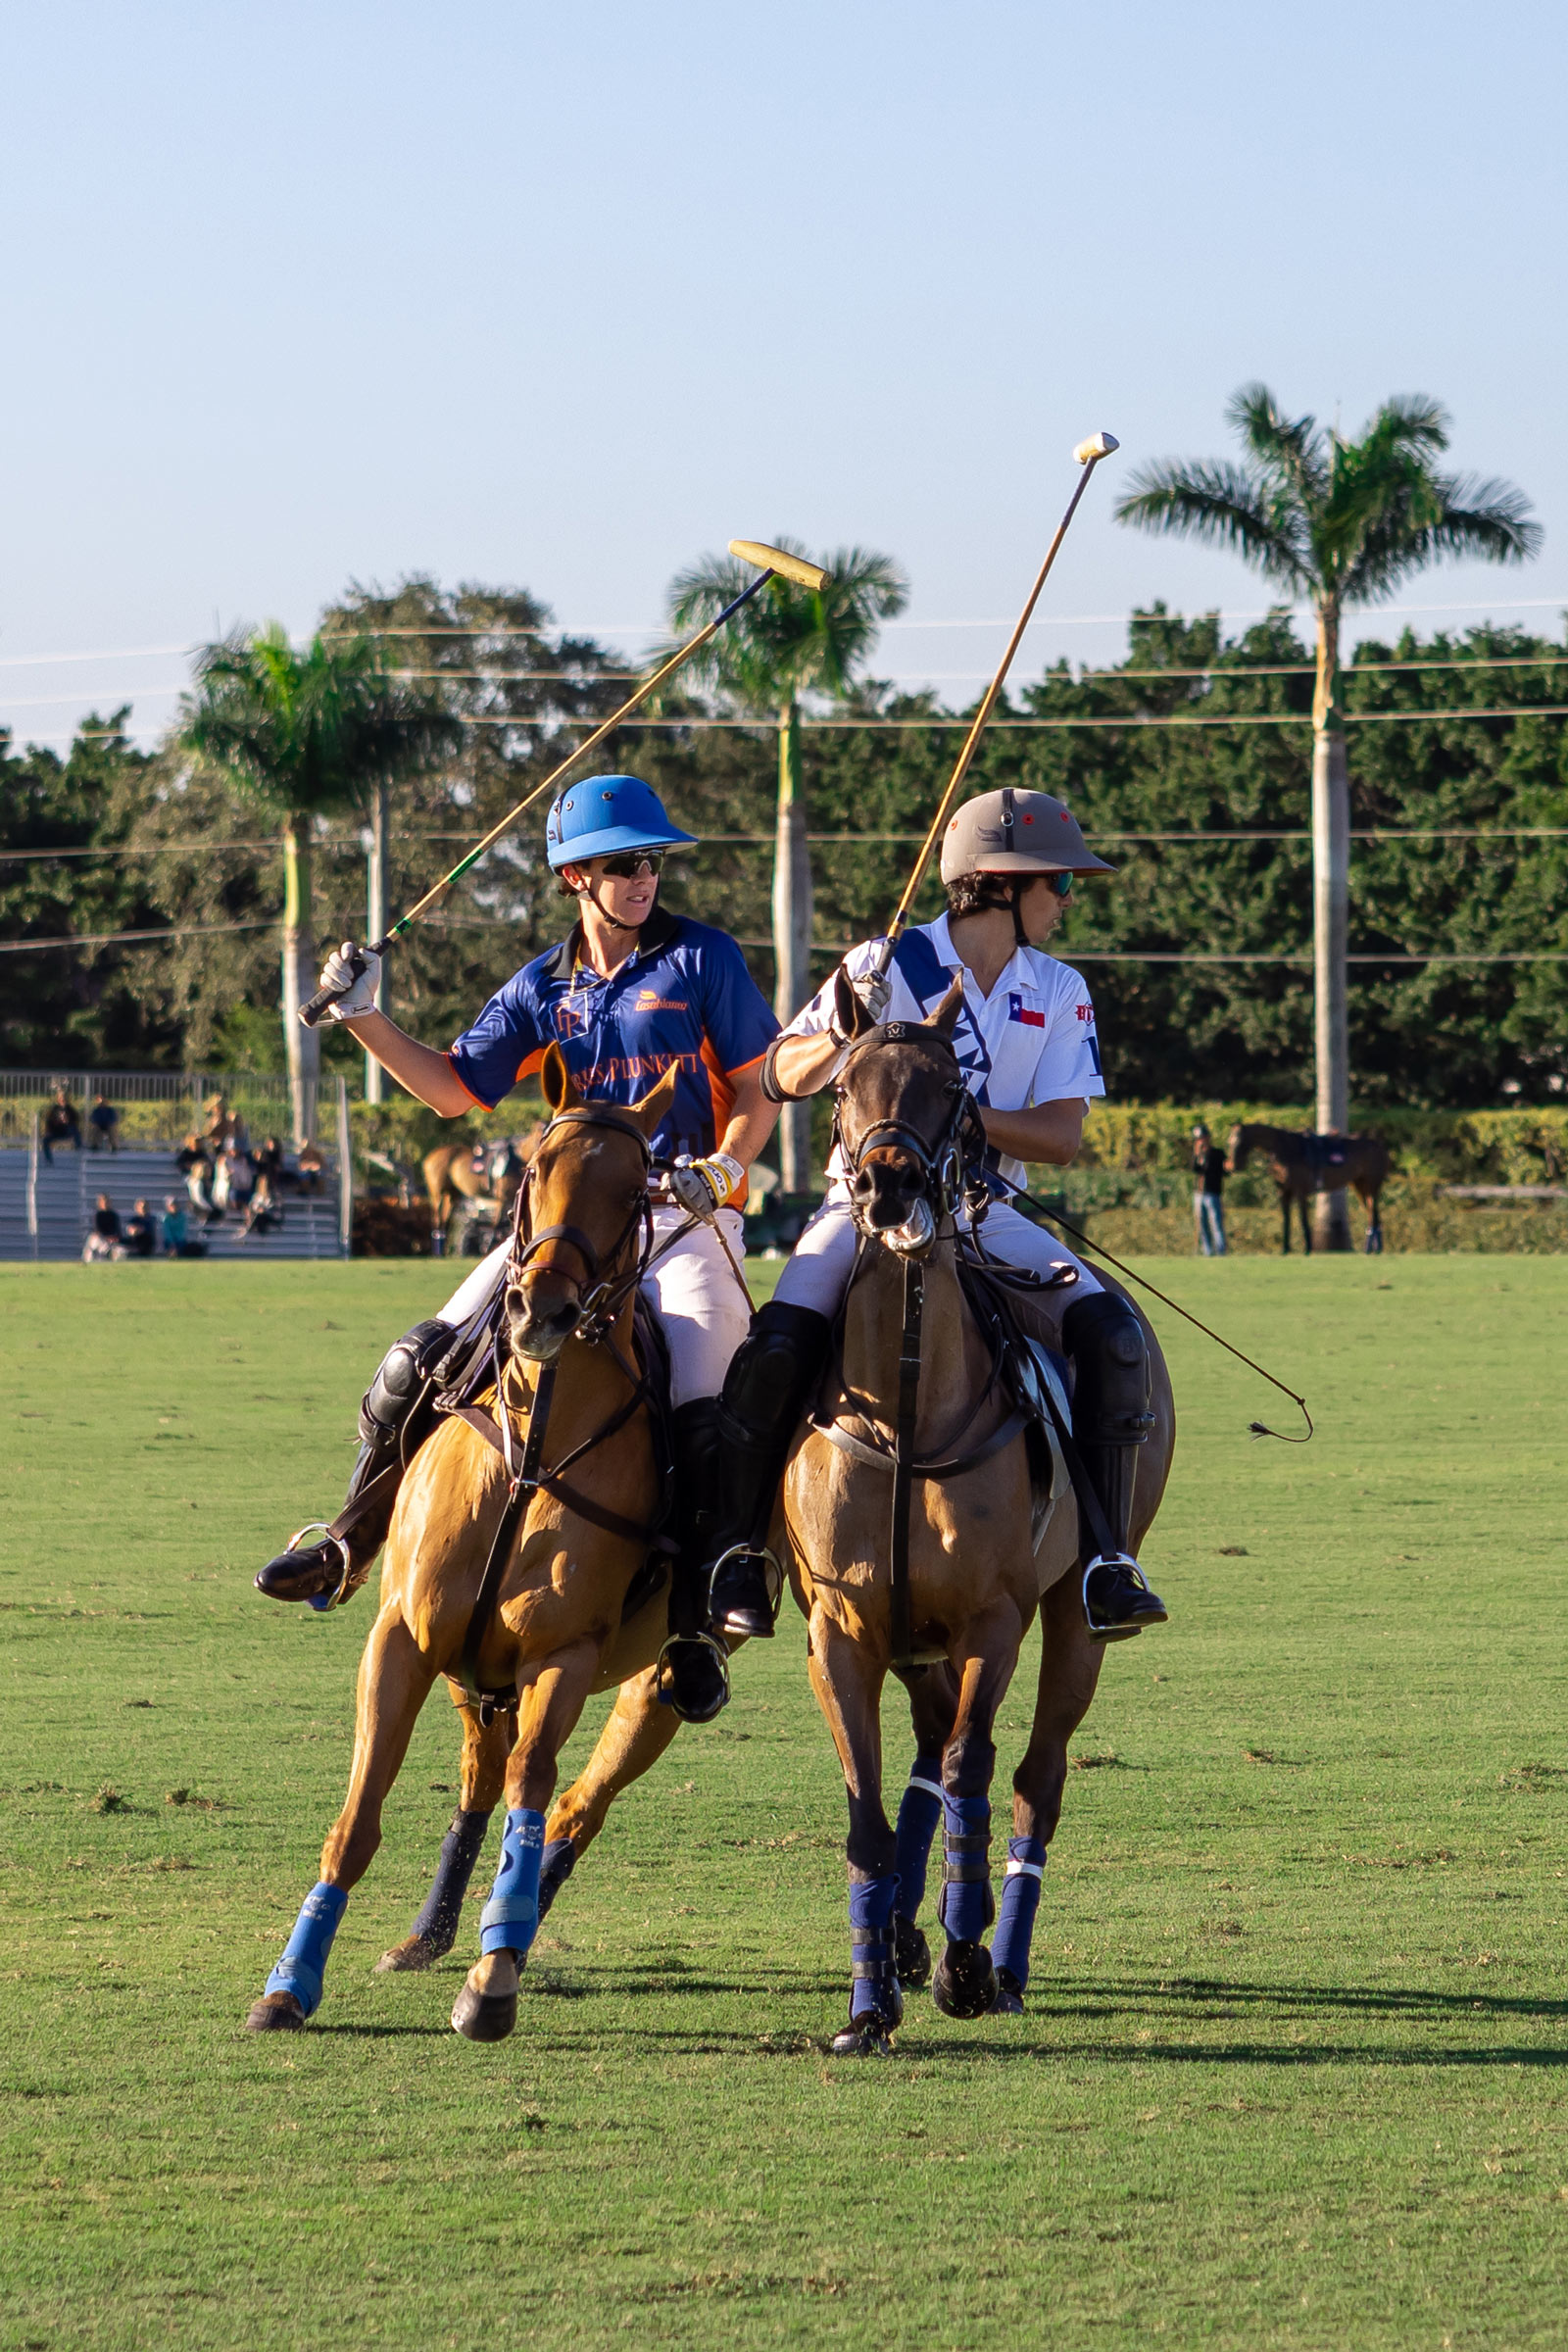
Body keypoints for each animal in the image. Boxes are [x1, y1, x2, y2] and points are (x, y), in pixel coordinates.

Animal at [245, 1054, 681, 2041]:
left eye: (637, 1187)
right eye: (531, 1169)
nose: (541, 1310)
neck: (538, 1438)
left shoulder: (565, 1652)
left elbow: (536, 1784)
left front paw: (493, 1982)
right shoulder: (402, 1637)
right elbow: (359, 1817)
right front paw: (288, 1983)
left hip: (655, 1674)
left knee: (573, 1800)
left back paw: (506, 1933)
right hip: (469, 1665)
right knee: (482, 1777)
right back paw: (435, 1931)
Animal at [1231, 1124, 1392, 1260]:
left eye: (1238, 1142)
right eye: (1229, 1142)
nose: (1233, 1166)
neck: (1286, 1149)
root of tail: (1379, 1145)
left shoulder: (1300, 1191)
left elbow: (1303, 1219)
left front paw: (1307, 1248)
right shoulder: (1283, 1192)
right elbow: (1286, 1220)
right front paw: (1285, 1248)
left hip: (1371, 1186)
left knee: (1373, 1214)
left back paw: (1371, 1249)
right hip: (1359, 1185)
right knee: (1374, 1215)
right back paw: (1374, 1248)